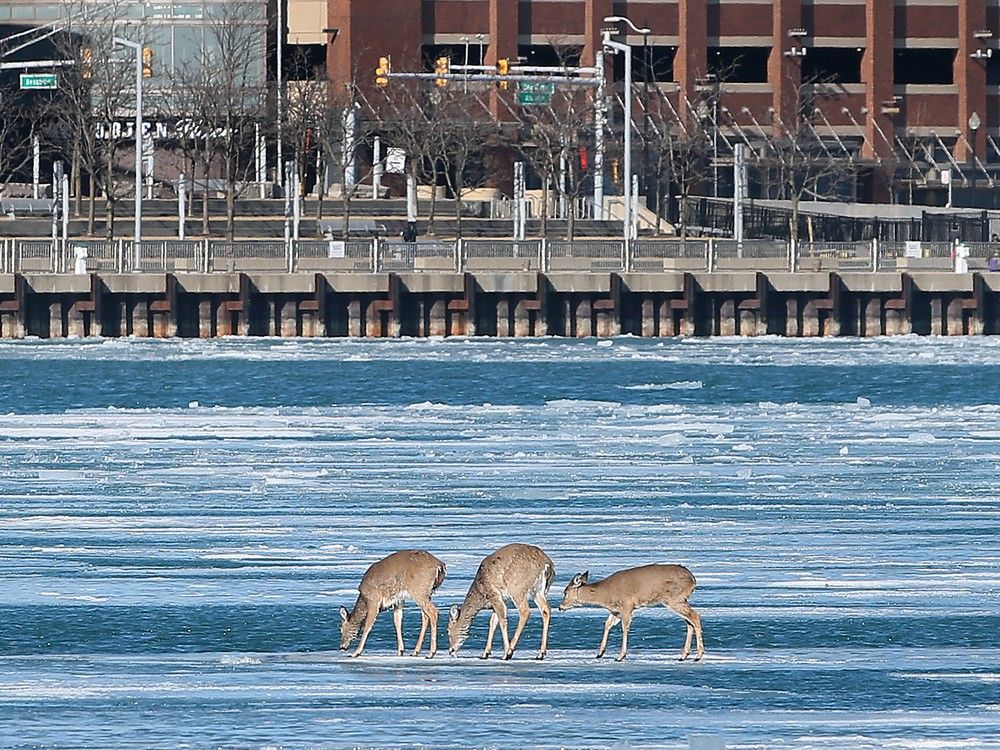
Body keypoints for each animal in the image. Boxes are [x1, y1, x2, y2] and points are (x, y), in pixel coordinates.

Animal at [558, 563, 704, 662]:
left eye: (565, 592)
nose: (560, 607)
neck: (605, 595)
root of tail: (693, 579)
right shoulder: (616, 611)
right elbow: (607, 624)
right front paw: (600, 653)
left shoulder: (626, 606)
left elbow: (625, 628)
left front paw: (620, 656)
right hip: (680, 599)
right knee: (689, 621)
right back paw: (684, 656)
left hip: (673, 599)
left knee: (695, 616)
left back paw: (698, 655)